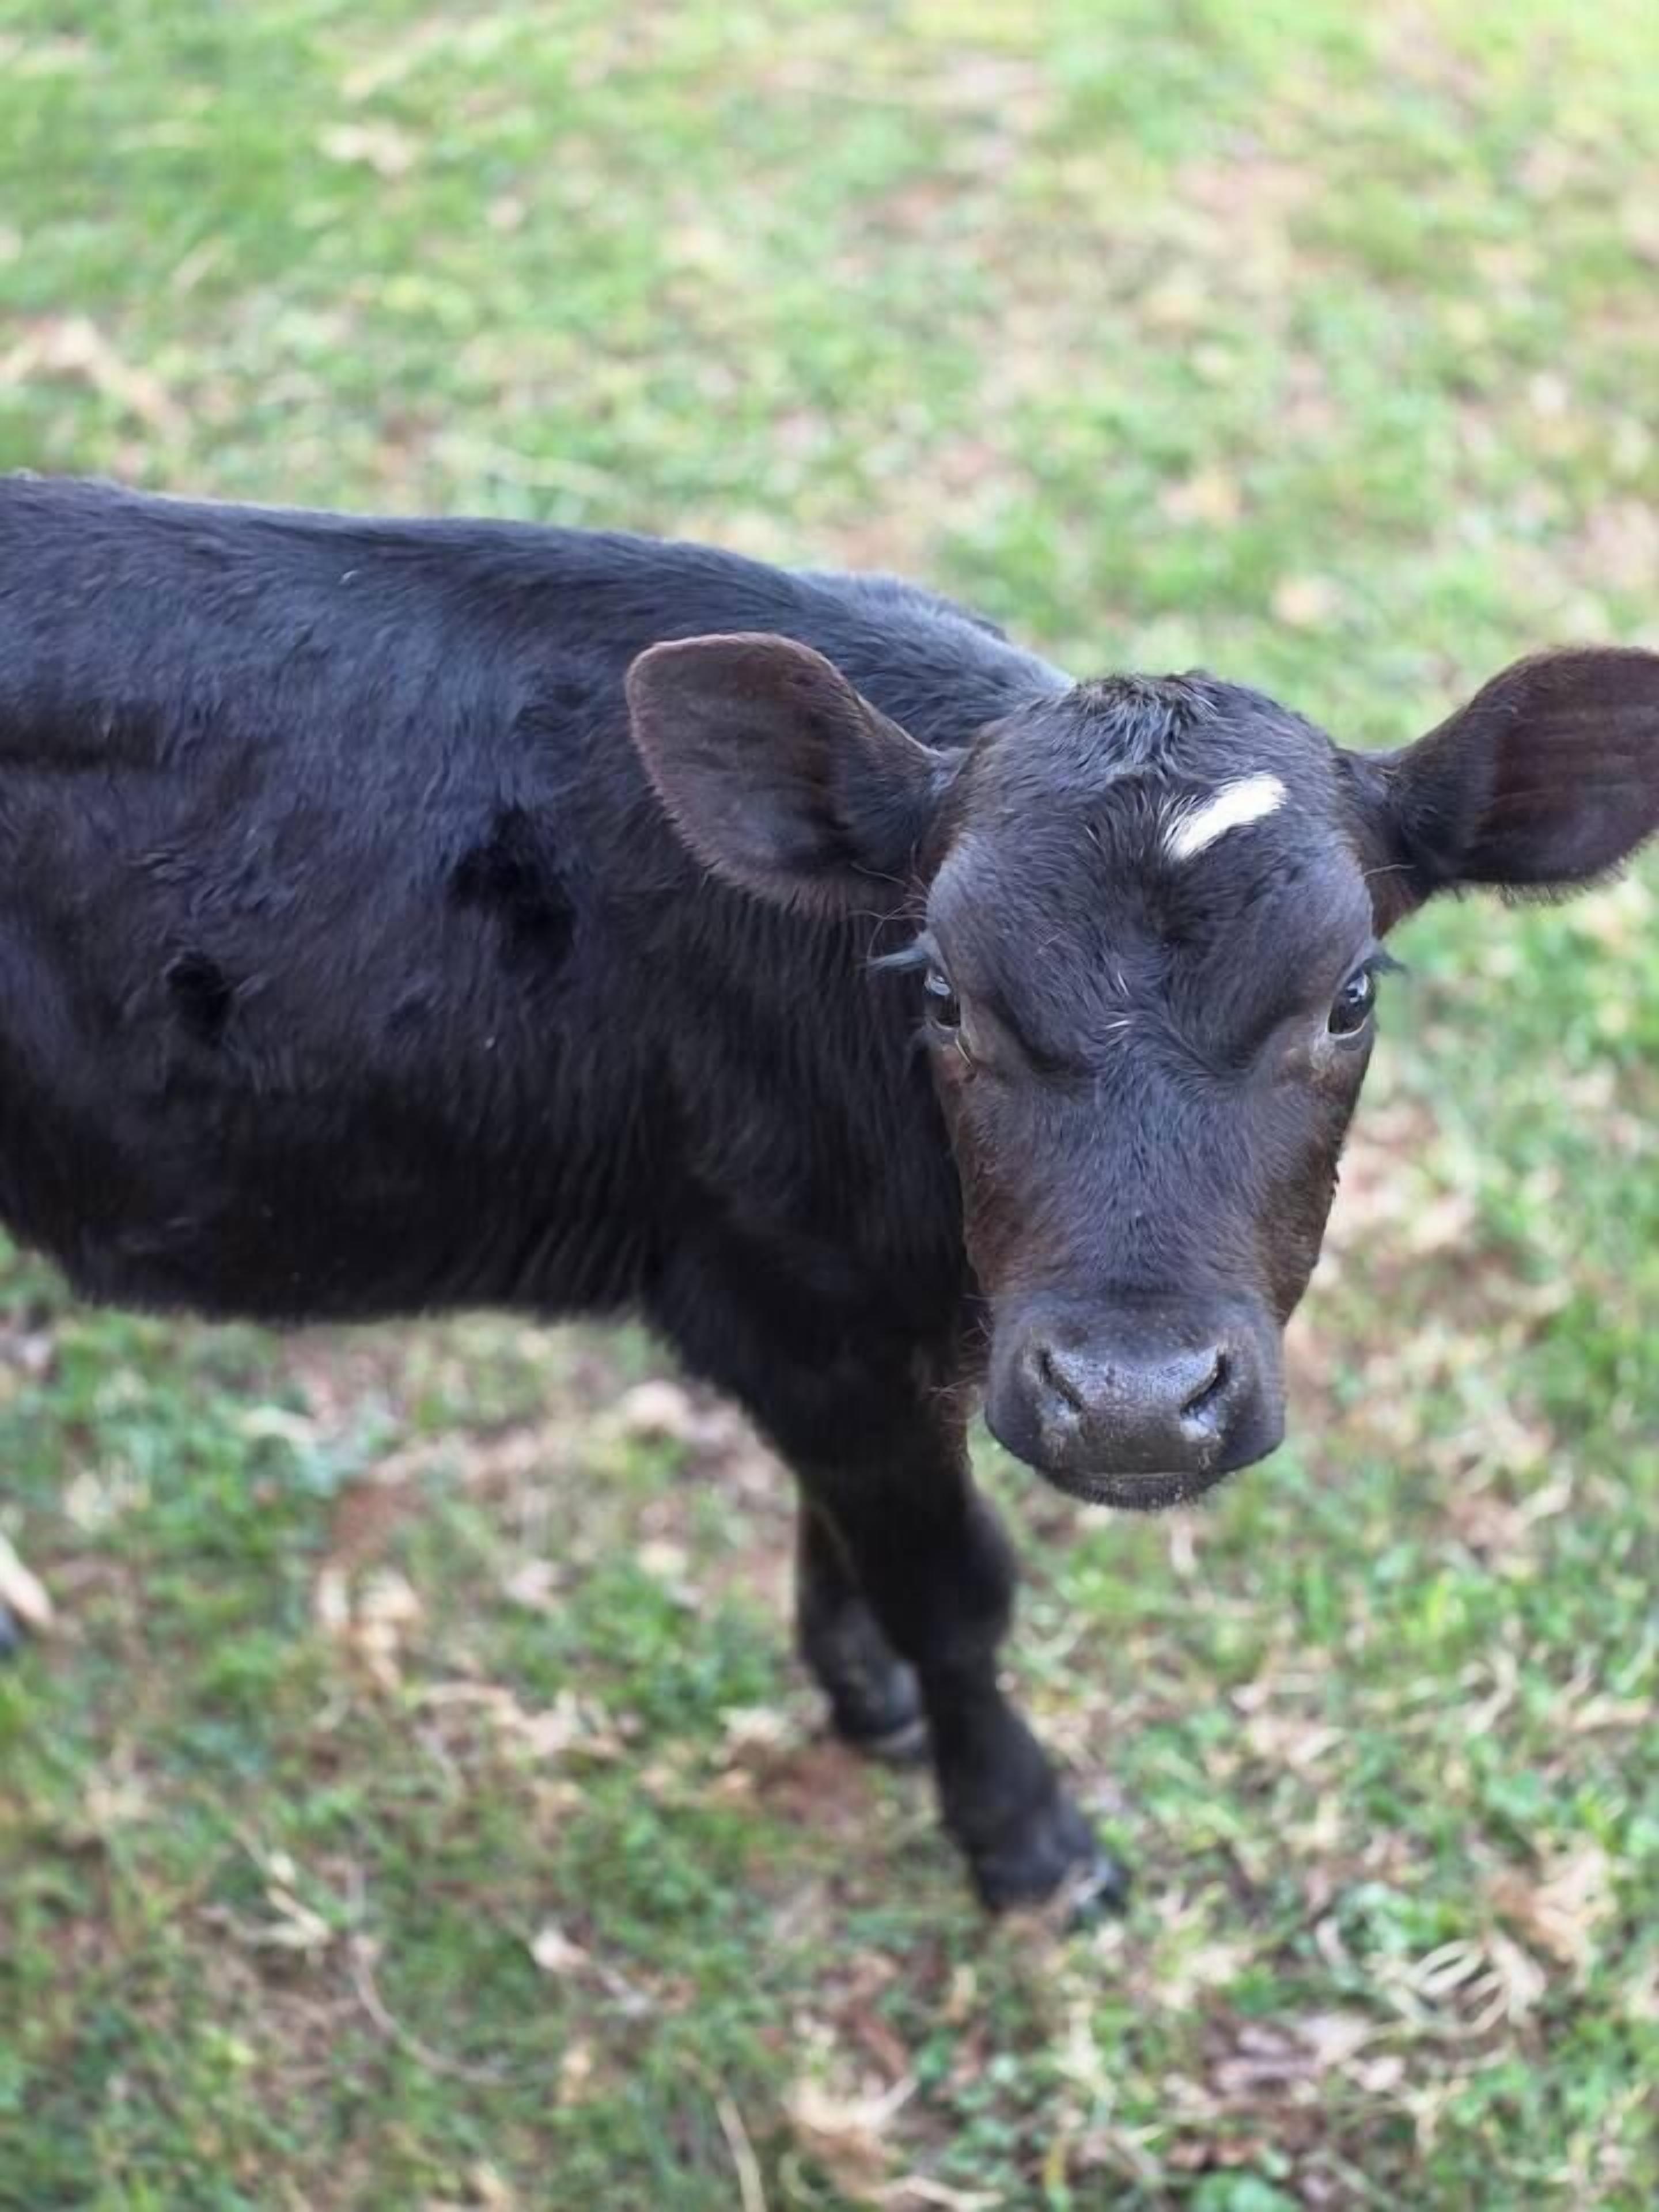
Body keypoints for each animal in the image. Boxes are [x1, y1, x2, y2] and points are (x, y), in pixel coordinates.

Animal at [2, 473, 1655, 1909]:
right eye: (939, 990)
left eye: (1351, 994)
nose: (1132, 1401)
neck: (936, 1272)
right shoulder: (793, 1305)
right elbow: (954, 1591)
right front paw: (1024, 1837)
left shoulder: (849, 1320)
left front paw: (860, 1686)